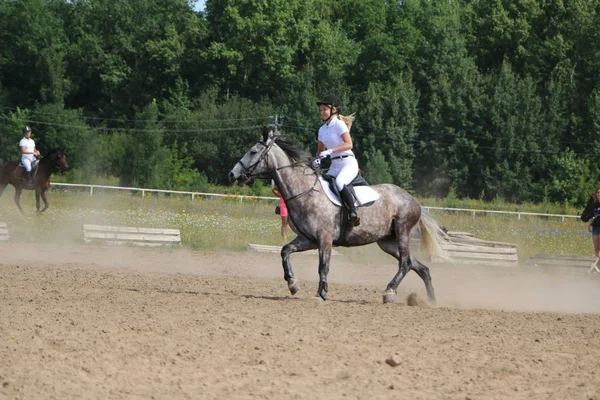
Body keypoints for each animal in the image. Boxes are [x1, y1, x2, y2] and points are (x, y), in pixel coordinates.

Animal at [230, 127, 450, 304]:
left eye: (253, 152)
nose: (232, 175)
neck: (304, 191)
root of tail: (414, 200)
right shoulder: (308, 239)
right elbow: (285, 251)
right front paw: (293, 284)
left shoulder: (324, 238)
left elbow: (323, 266)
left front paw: (320, 294)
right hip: (387, 242)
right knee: (419, 266)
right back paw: (430, 301)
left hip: (403, 232)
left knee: (405, 263)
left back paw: (389, 292)